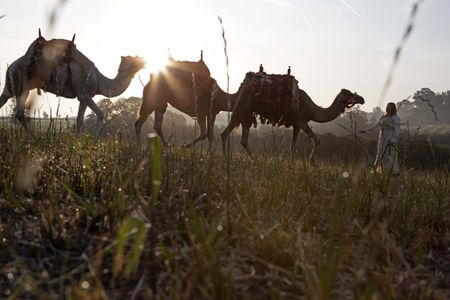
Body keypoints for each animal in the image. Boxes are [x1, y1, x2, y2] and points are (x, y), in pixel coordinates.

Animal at [0, 32, 144, 132]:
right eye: (133, 60)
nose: (144, 61)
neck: (100, 82)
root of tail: (10, 66)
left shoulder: (83, 97)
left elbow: (80, 120)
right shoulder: (85, 93)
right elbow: (101, 114)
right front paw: (93, 140)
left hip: (10, 86)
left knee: (6, 102)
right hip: (21, 85)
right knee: (19, 113)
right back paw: (31, 137)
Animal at [219, 72, 366, 158]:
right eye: (349, 93)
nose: (362, 99)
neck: (313, 109)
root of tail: (240, 90)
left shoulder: (296, 125)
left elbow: (292, 147)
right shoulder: (301, 120)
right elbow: (316, 140)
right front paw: (310, 162)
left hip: (237, 113)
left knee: (224, 133)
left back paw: (225, 158)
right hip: (246, 112)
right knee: (243, 139)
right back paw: (253, 160)